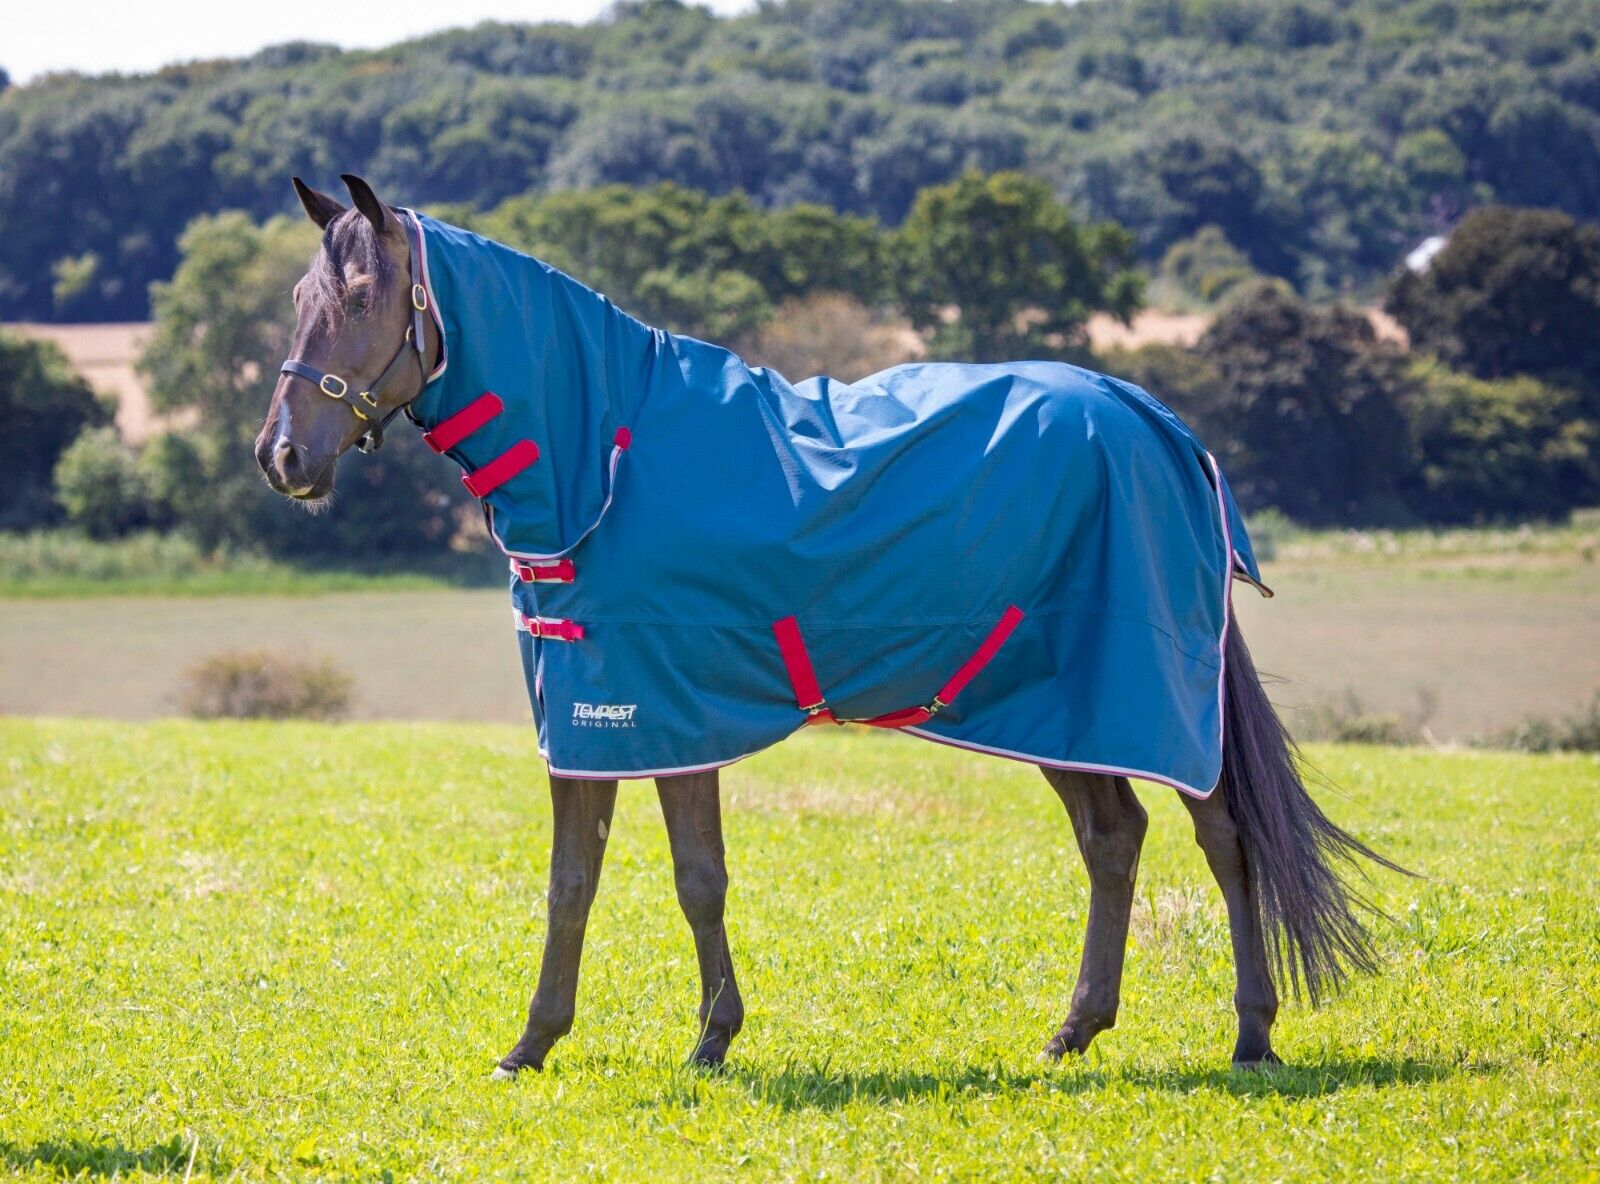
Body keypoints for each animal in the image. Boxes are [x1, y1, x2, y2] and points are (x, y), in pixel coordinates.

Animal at [254, 174, 1401, 1077]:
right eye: (304, 296)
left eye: (362, 297)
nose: (282, 457)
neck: (605, 459)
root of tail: (1161, 427)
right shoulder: (592, 717)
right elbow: (575, 882)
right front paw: (536, 1044)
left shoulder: (664, 714)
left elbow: (694, 880)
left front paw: (707, 1039)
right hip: (1054, 705)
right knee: (1114, 839)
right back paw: (1073, 1031)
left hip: (1149, 699)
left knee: (1224, 835)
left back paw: (1251, 1034)